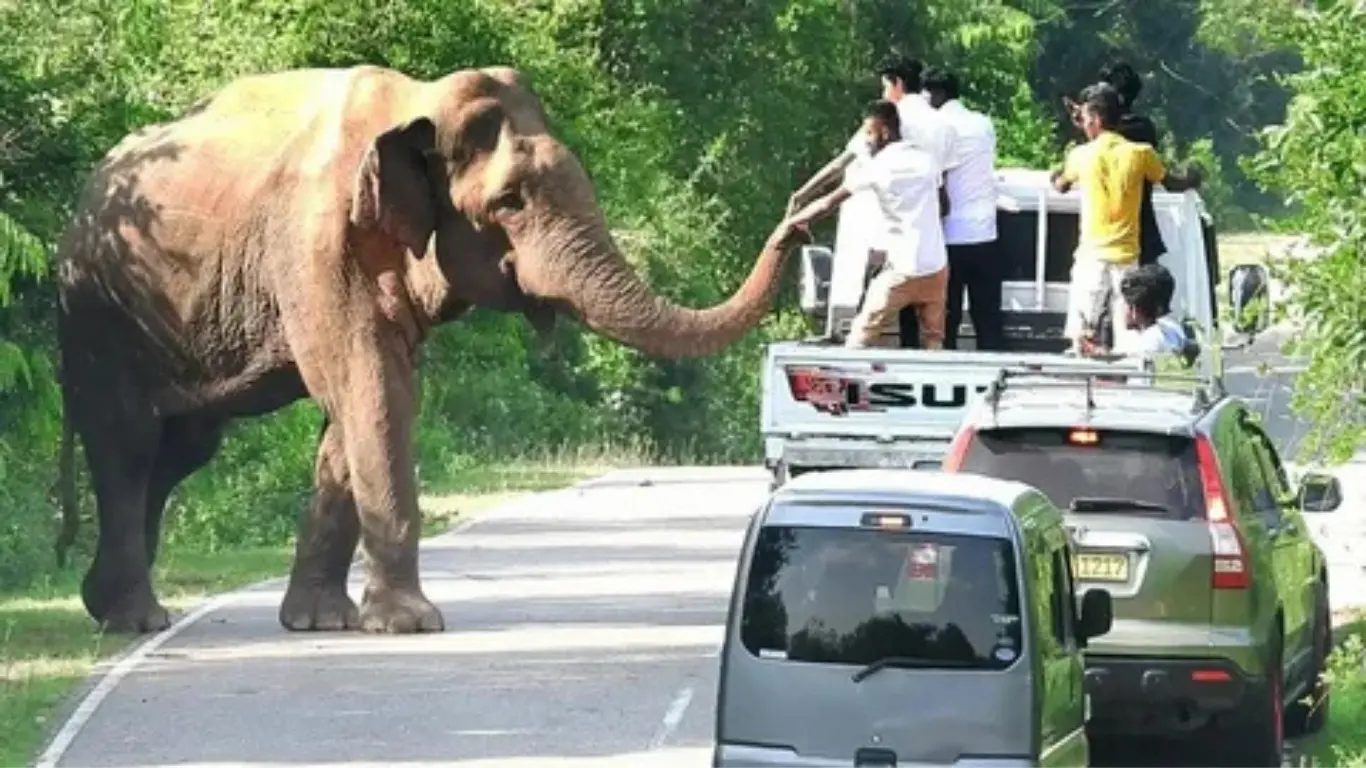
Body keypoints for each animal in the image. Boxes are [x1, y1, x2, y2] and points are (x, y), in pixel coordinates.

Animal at [52, 64, 804, 635]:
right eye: (509, 201)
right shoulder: (319, 245)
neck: (417, 101)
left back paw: (103, 602)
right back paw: (135, 621)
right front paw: (409, 625)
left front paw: (324, 623)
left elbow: (366, 407)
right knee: (129, 439)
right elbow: (371, 389)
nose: (804, 212)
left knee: (181, 448)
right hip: (98, 310)